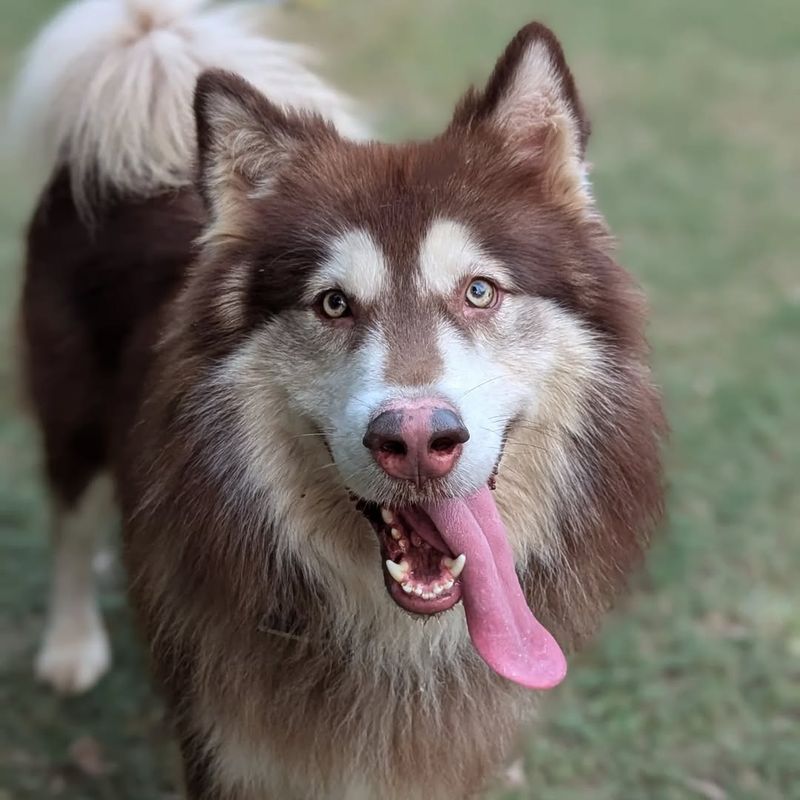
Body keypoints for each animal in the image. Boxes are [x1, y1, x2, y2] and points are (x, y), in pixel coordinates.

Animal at [12, 1, 664, 800]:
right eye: (332, 303)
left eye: (480, 291)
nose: (415, 440)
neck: (393, 638)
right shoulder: (223, 746)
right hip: (70, 414)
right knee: (70, 522)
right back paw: (71, 643)